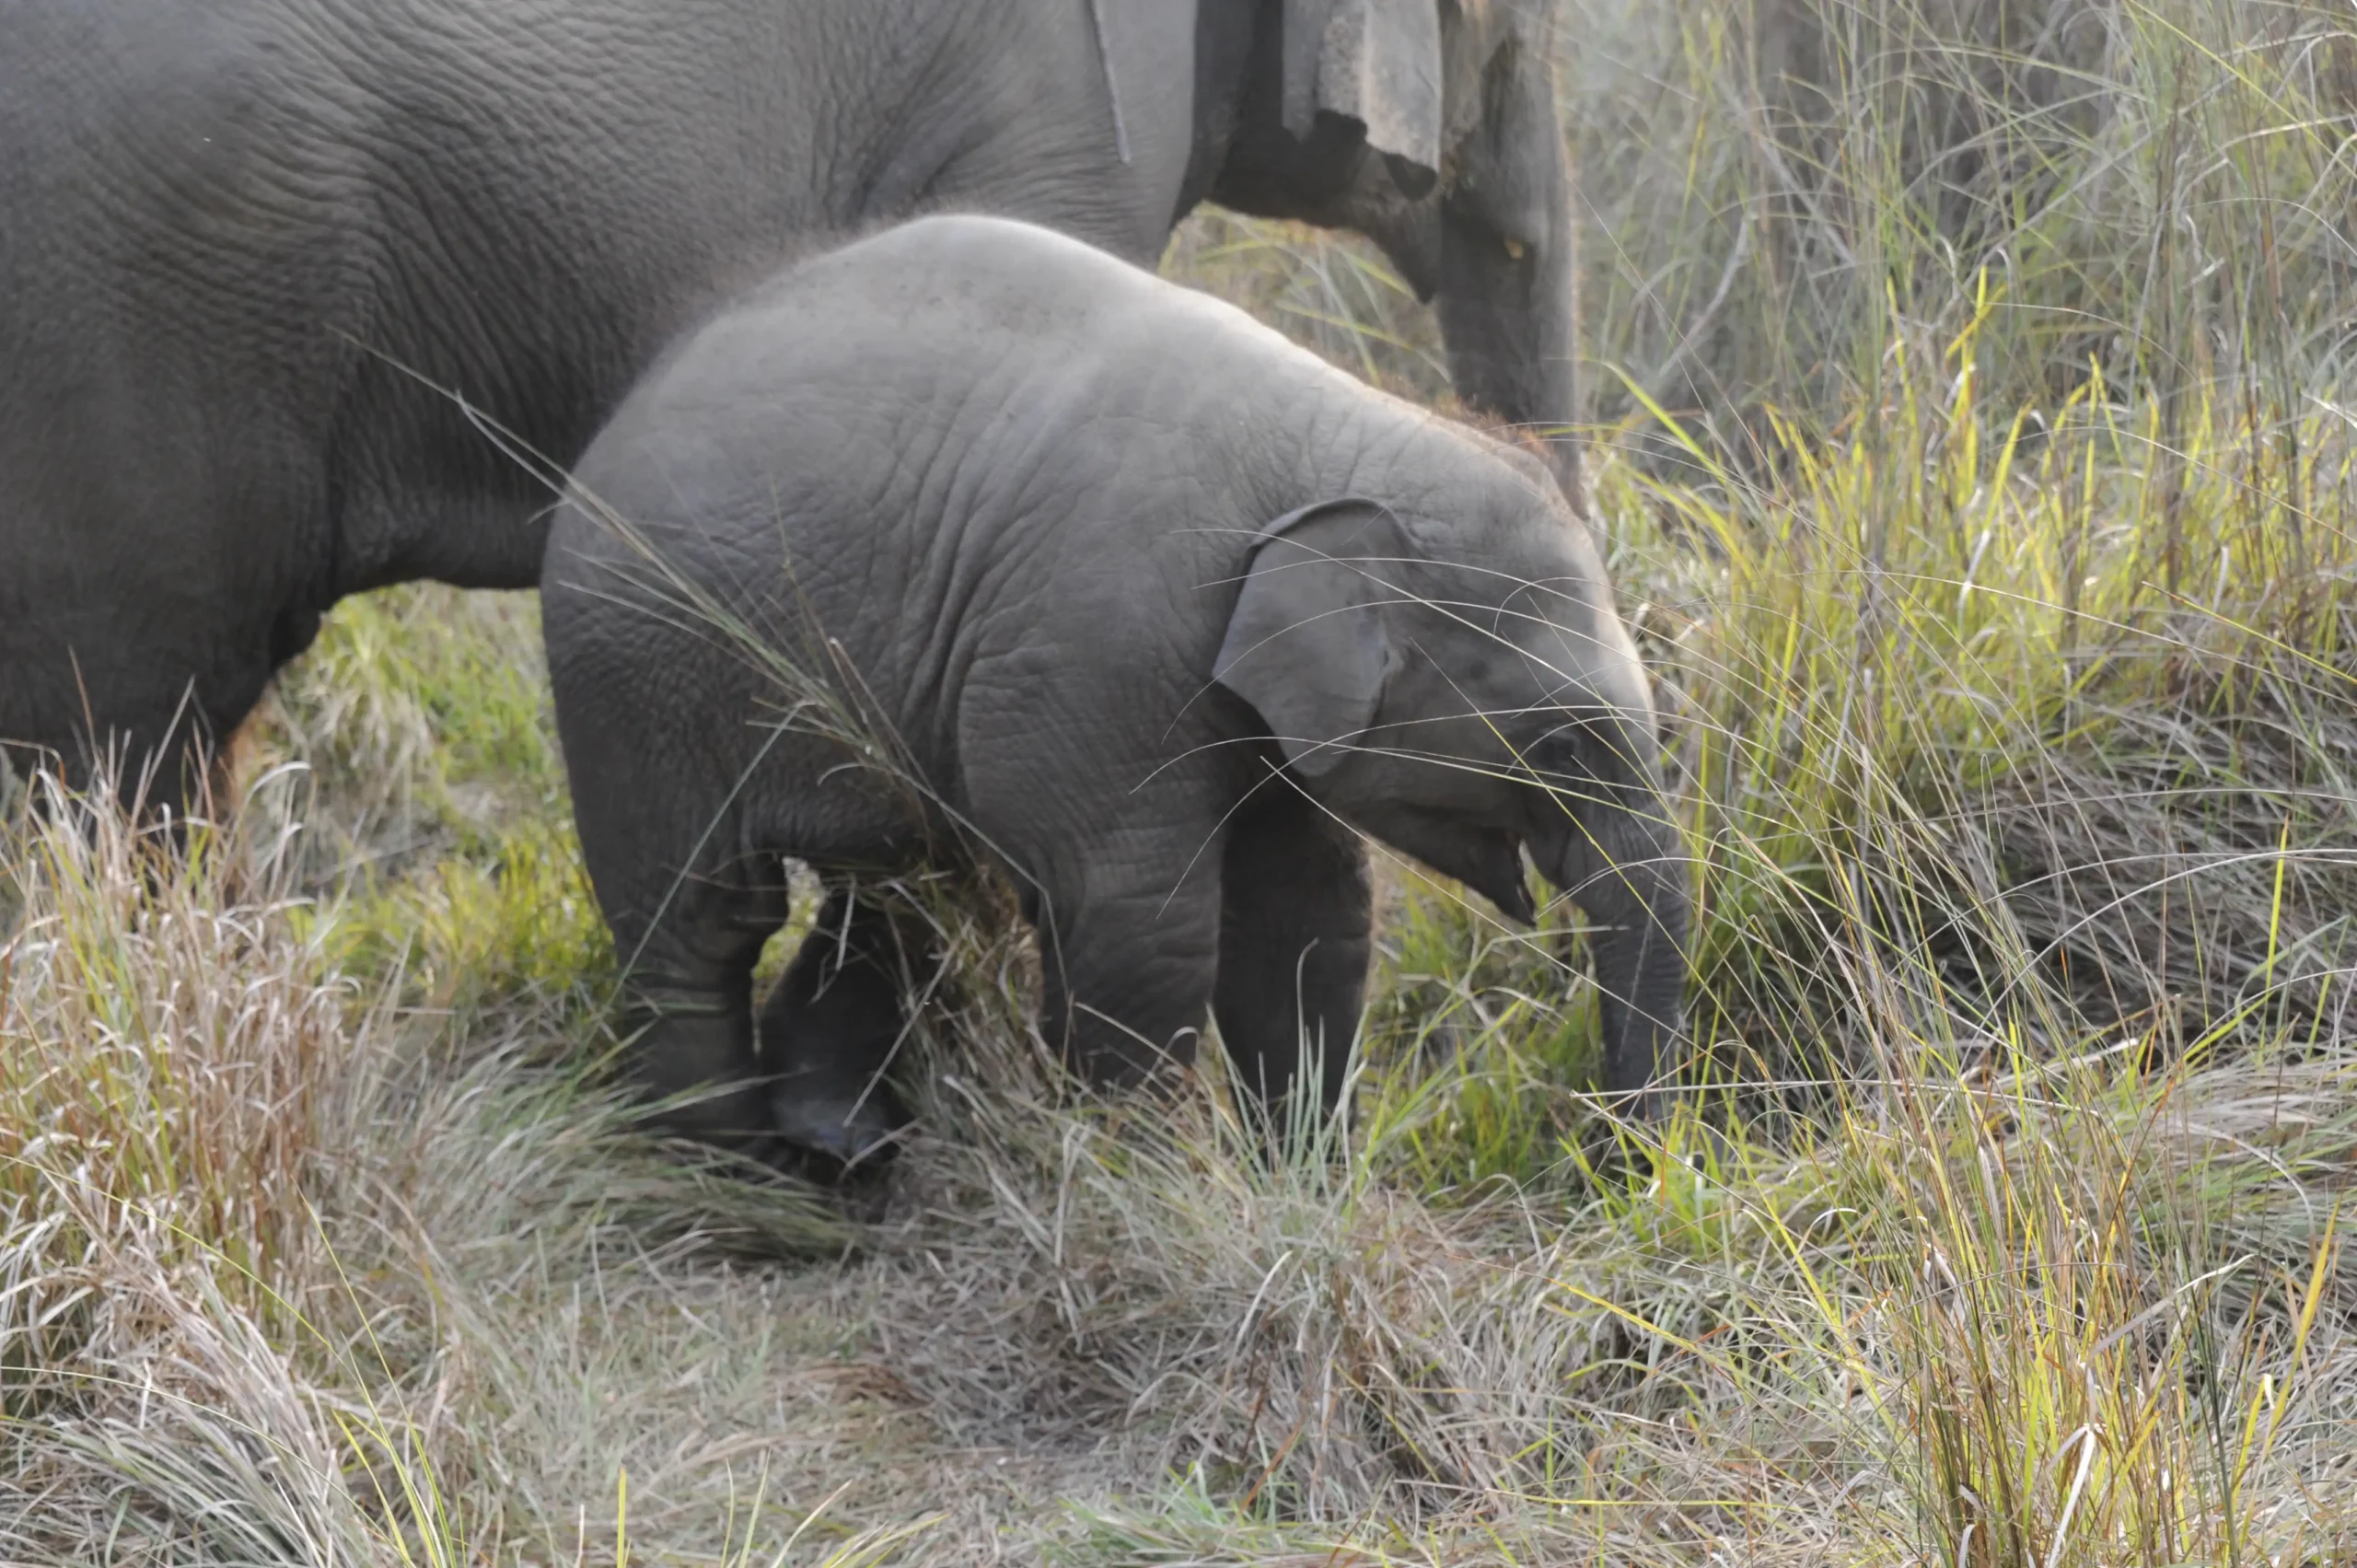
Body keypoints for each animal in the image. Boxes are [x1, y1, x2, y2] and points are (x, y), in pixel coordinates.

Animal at [540, 215, 1684, 1170]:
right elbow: (1146, 920)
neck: (1339, 432)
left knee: (898, 887)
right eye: (1561, 746)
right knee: (703, 921)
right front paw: (1150, 1178)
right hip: (636, 675)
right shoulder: (1097, 651)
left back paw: (832, 1147)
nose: (1601, 1164)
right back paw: (735, 1177)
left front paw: (1305, 1186)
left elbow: (1312, 914)